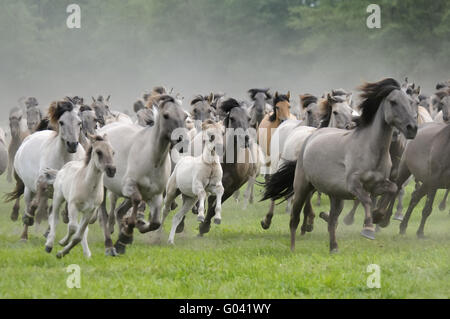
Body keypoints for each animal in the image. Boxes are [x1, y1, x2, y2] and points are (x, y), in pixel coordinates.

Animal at [6, 100, 84, 240]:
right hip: (28, 188)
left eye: (79, 122)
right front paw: (28, 218)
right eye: (61, 122)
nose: (72, 145)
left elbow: (59, 210)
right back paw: (24, 235)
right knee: (28, 203)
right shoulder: (41, 183)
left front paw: (62, 219)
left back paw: (47, 231)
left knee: (51, 210)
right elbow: (34, 205)